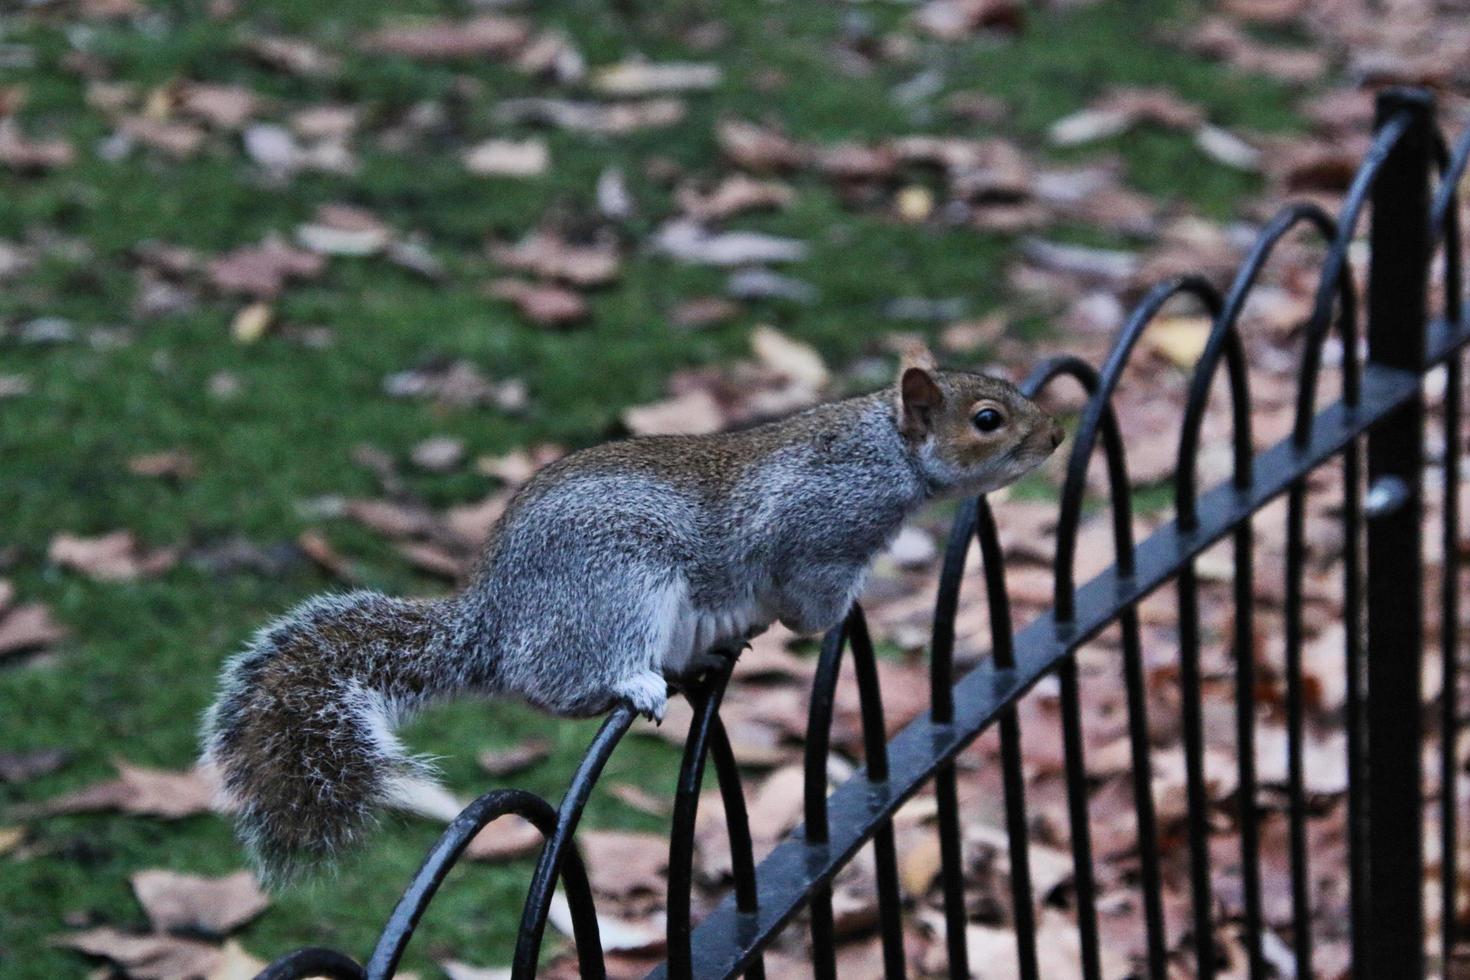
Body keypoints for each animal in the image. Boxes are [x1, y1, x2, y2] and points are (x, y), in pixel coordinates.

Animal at [201, 346, 1064, 881]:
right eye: (987, 418)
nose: (1055, 435)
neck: (884, 451)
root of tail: (496, 623)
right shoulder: (817, 537)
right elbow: (812, 603)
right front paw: (851, 611)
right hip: (617, 590)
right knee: (557, 683)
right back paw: (637, 684)